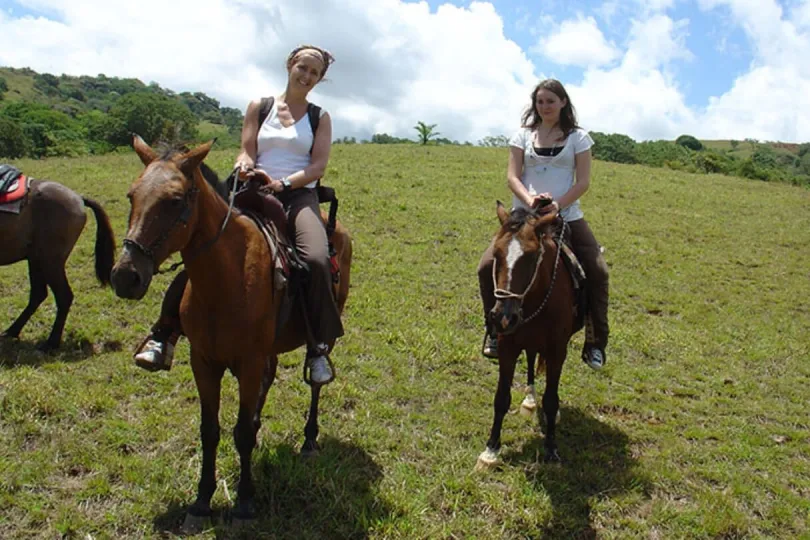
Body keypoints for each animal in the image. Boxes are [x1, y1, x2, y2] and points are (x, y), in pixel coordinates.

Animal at [0, 167, 115, 350]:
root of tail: (78, 198)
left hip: (50, 262)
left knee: (63, 296)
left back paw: (51, 342)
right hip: (36, 259)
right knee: (38, 295)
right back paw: (12, 331)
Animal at [110, 137, 350, 528]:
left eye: (174, 200)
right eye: (132, 195)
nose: (125, 276)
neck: (226, 276)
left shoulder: (248, 361)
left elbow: (241, 434)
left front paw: (244, 503)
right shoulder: (204, 361)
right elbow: (211, 431)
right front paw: (201, 502)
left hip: (324, 328)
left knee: (315, 379)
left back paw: (309, 439)